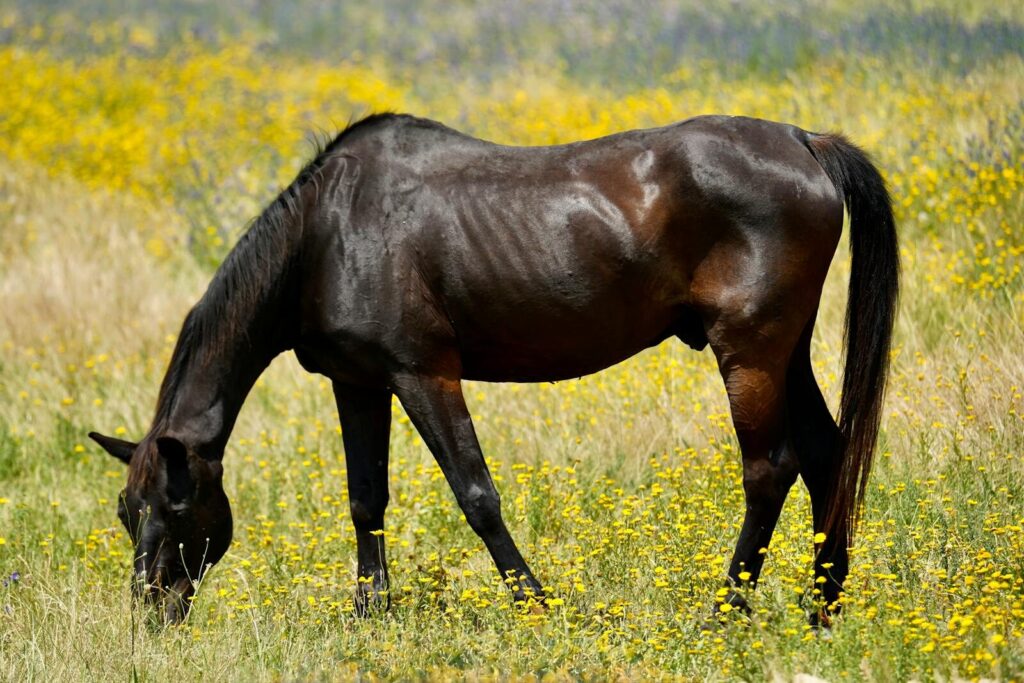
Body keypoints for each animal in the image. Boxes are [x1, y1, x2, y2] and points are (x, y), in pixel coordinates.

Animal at [89, 112, 898, 626]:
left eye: (177, 508)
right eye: (128, 512)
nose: (151, 614)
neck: (328, 233)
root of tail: (804, 142)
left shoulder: (423, 374)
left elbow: (476, 494)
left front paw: (534, 604)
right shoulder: (358, 382)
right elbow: (365, 500)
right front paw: (370, 613)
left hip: (750, 352)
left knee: (770, 469)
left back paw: (725, 610)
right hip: (785, 352)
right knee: (826, 455)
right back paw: (821, 608)